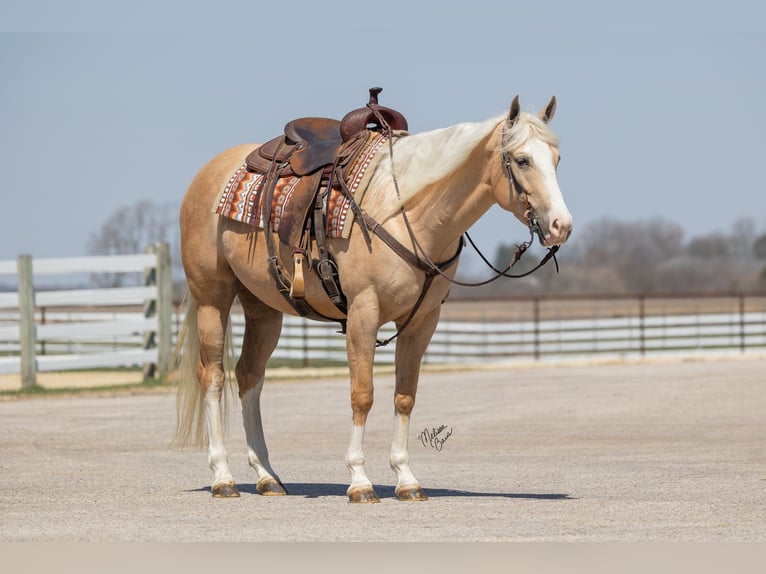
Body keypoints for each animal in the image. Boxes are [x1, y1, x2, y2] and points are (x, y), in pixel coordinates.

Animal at [174, 95, 568, 504]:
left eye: (556, 158)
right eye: (522, 160)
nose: (561, 225)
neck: (405, 213)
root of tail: (211, 171)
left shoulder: (422, 322)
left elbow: (404, 396)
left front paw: (407, 479)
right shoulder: (364, 312)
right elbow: (362, 394)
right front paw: (360, 481)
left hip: (263, 308)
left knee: (249, 376)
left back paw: (267, 476)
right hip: (212, 297)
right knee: (214, 377)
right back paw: (223, 477)